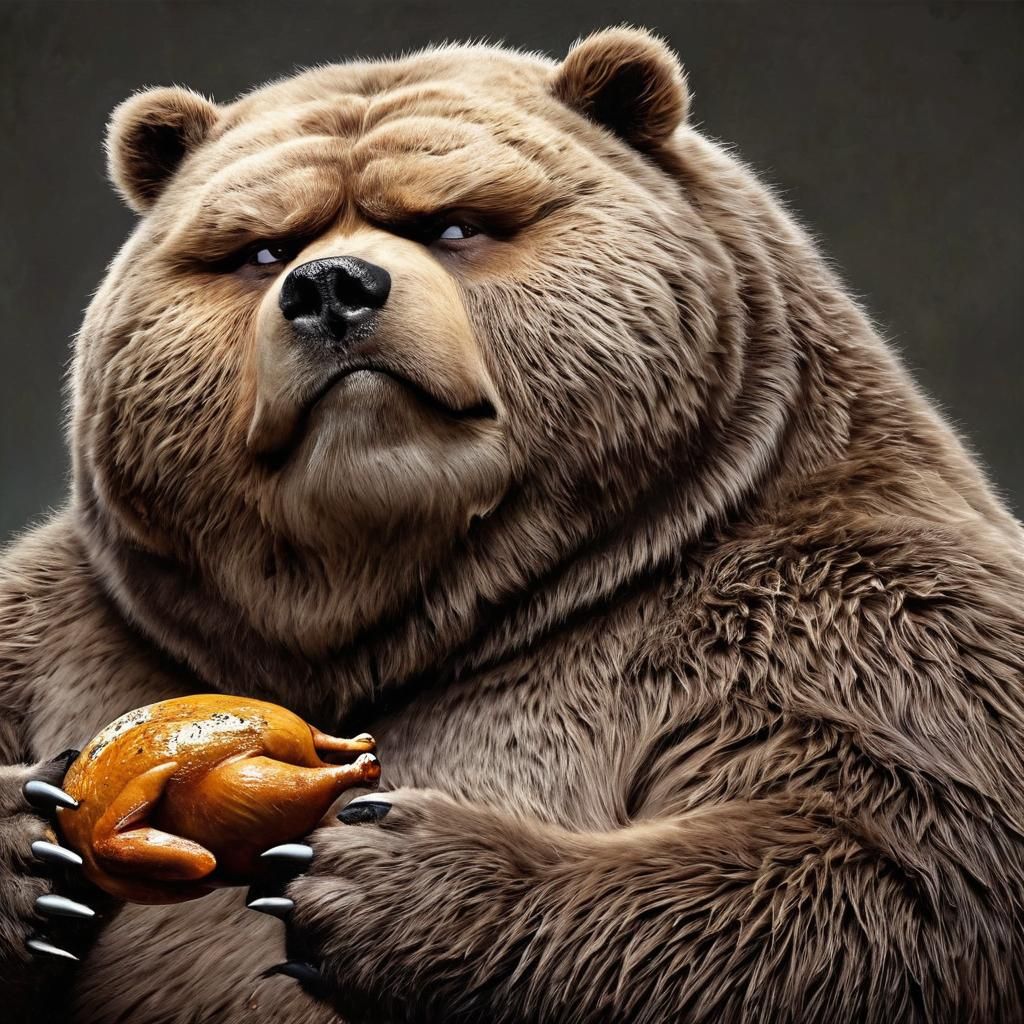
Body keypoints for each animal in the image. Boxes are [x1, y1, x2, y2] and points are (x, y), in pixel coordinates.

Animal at [1, 24, 1024, 1024]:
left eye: (454, 222)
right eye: (260, 247)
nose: (329, 287)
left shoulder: (839, 613)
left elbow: (882, 861)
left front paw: (375, 871)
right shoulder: (72, 636)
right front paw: (35, 852)